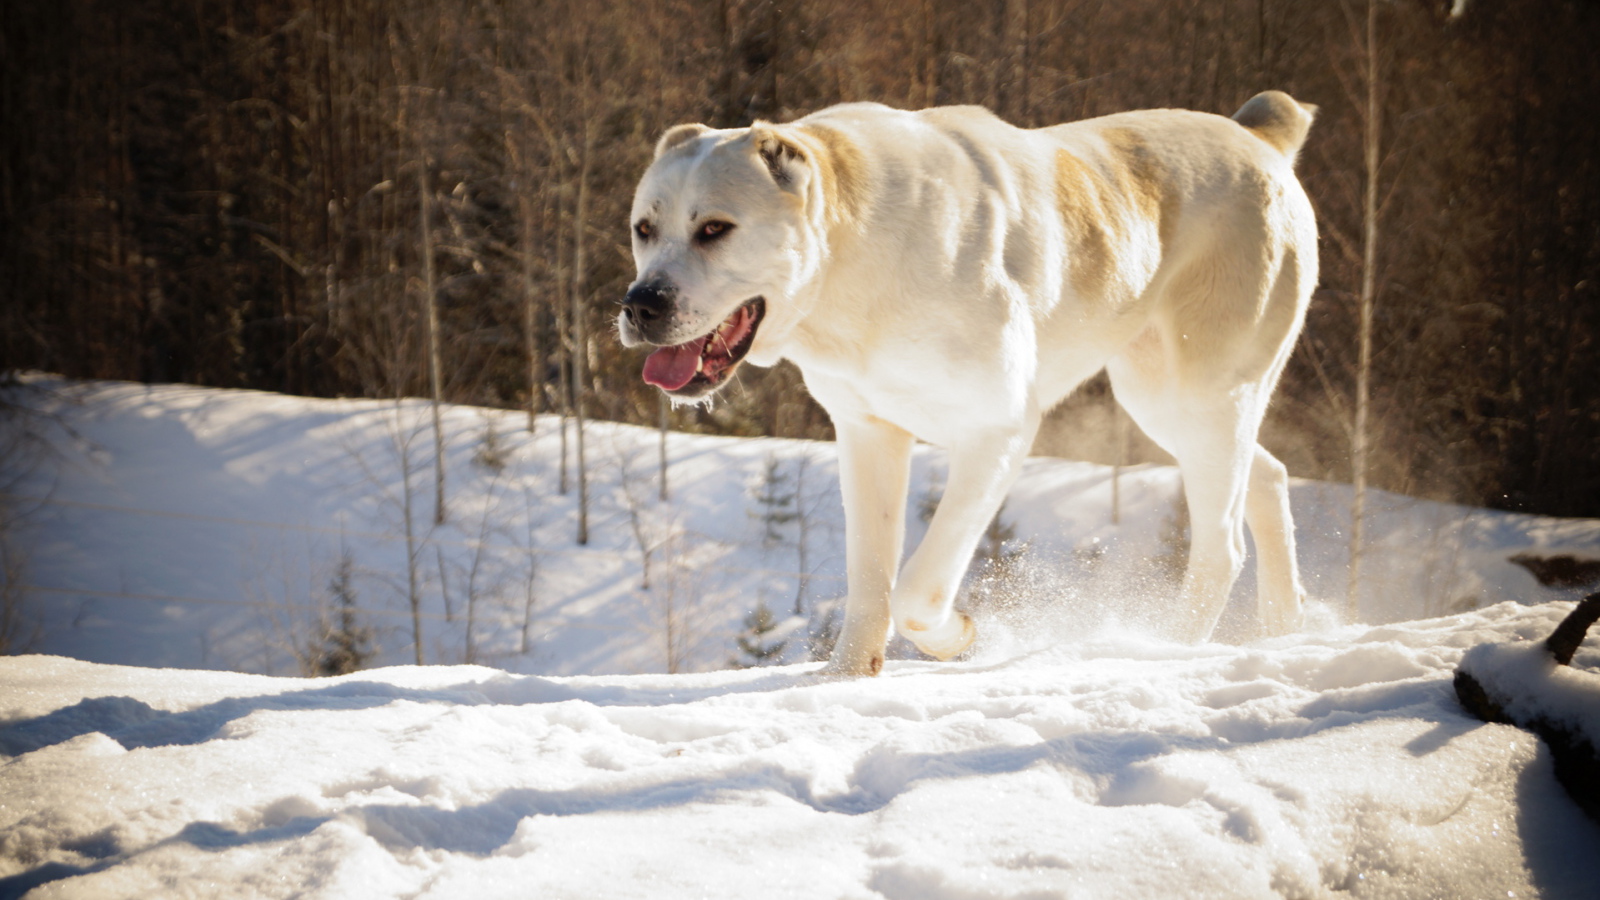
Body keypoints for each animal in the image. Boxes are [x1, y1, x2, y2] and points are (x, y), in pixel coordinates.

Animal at [617, 92, 1318, 672]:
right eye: (643, 229)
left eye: (714, 229)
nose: (641, 304)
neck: (852, 260)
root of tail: (1257, 136)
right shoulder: (868, 433)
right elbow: (870, 577)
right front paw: (846, 677)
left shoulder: (996, 431)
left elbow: (916, 588)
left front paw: (960, 636)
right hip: (1167, 401)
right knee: (1268, 477)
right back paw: (1284, 628)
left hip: (1201, 395)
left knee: (1223, 544)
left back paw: (1164, 648)